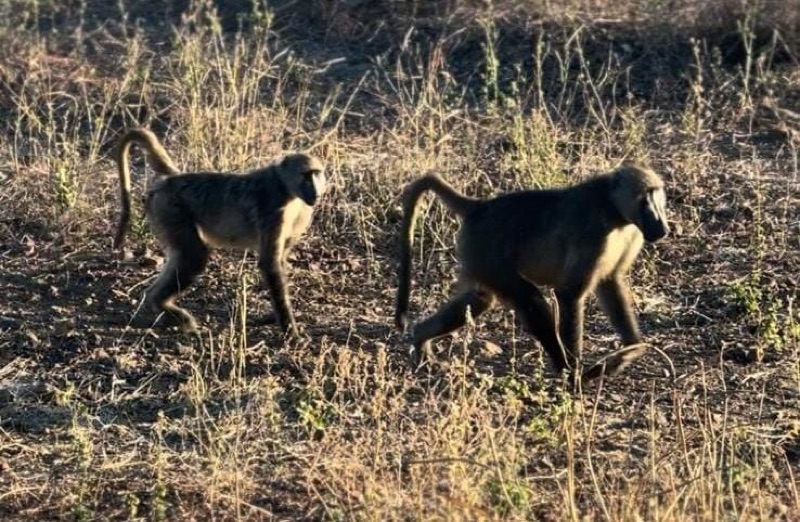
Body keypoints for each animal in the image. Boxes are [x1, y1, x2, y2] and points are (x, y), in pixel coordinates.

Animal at [114, 128, 326, 337]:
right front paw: (291, 333)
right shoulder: (273, 209)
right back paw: (163, 306)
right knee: (194, 256)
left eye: (317, 174)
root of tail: (172, 180)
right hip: (169, 208)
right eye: (306, 175)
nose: (316, 192)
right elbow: (270, 264)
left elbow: (279, 262)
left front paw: (273, 318)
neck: (285, 187)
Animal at [395, 165, 669, 381]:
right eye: (645, 199)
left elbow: (610, 283)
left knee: (479, 299)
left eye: (657, 196)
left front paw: (630, 351)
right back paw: (565, 371)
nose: (662, 227)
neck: (612, 207)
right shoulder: (592, 232)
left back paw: (421, 340)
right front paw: (576, 375)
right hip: (486, 251)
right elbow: (569, 293)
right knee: (529, 300)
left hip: (479, 257)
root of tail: (480, 208)